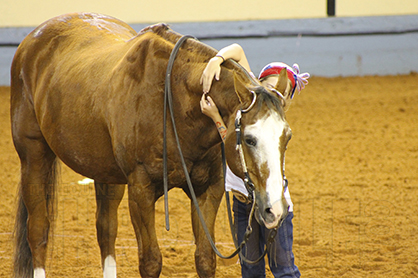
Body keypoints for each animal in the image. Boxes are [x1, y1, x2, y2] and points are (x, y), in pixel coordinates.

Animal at [9, 11, 292, 276]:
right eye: (250, 139)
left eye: (286, 136)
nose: (276, 210)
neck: (173, 100)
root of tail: (33, 39)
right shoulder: (141, 191)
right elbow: (151, 262)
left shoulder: (207, 190)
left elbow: (205, 259)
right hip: (34, 157)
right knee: (38, 230)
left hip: (105, 173)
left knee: (106, 230)